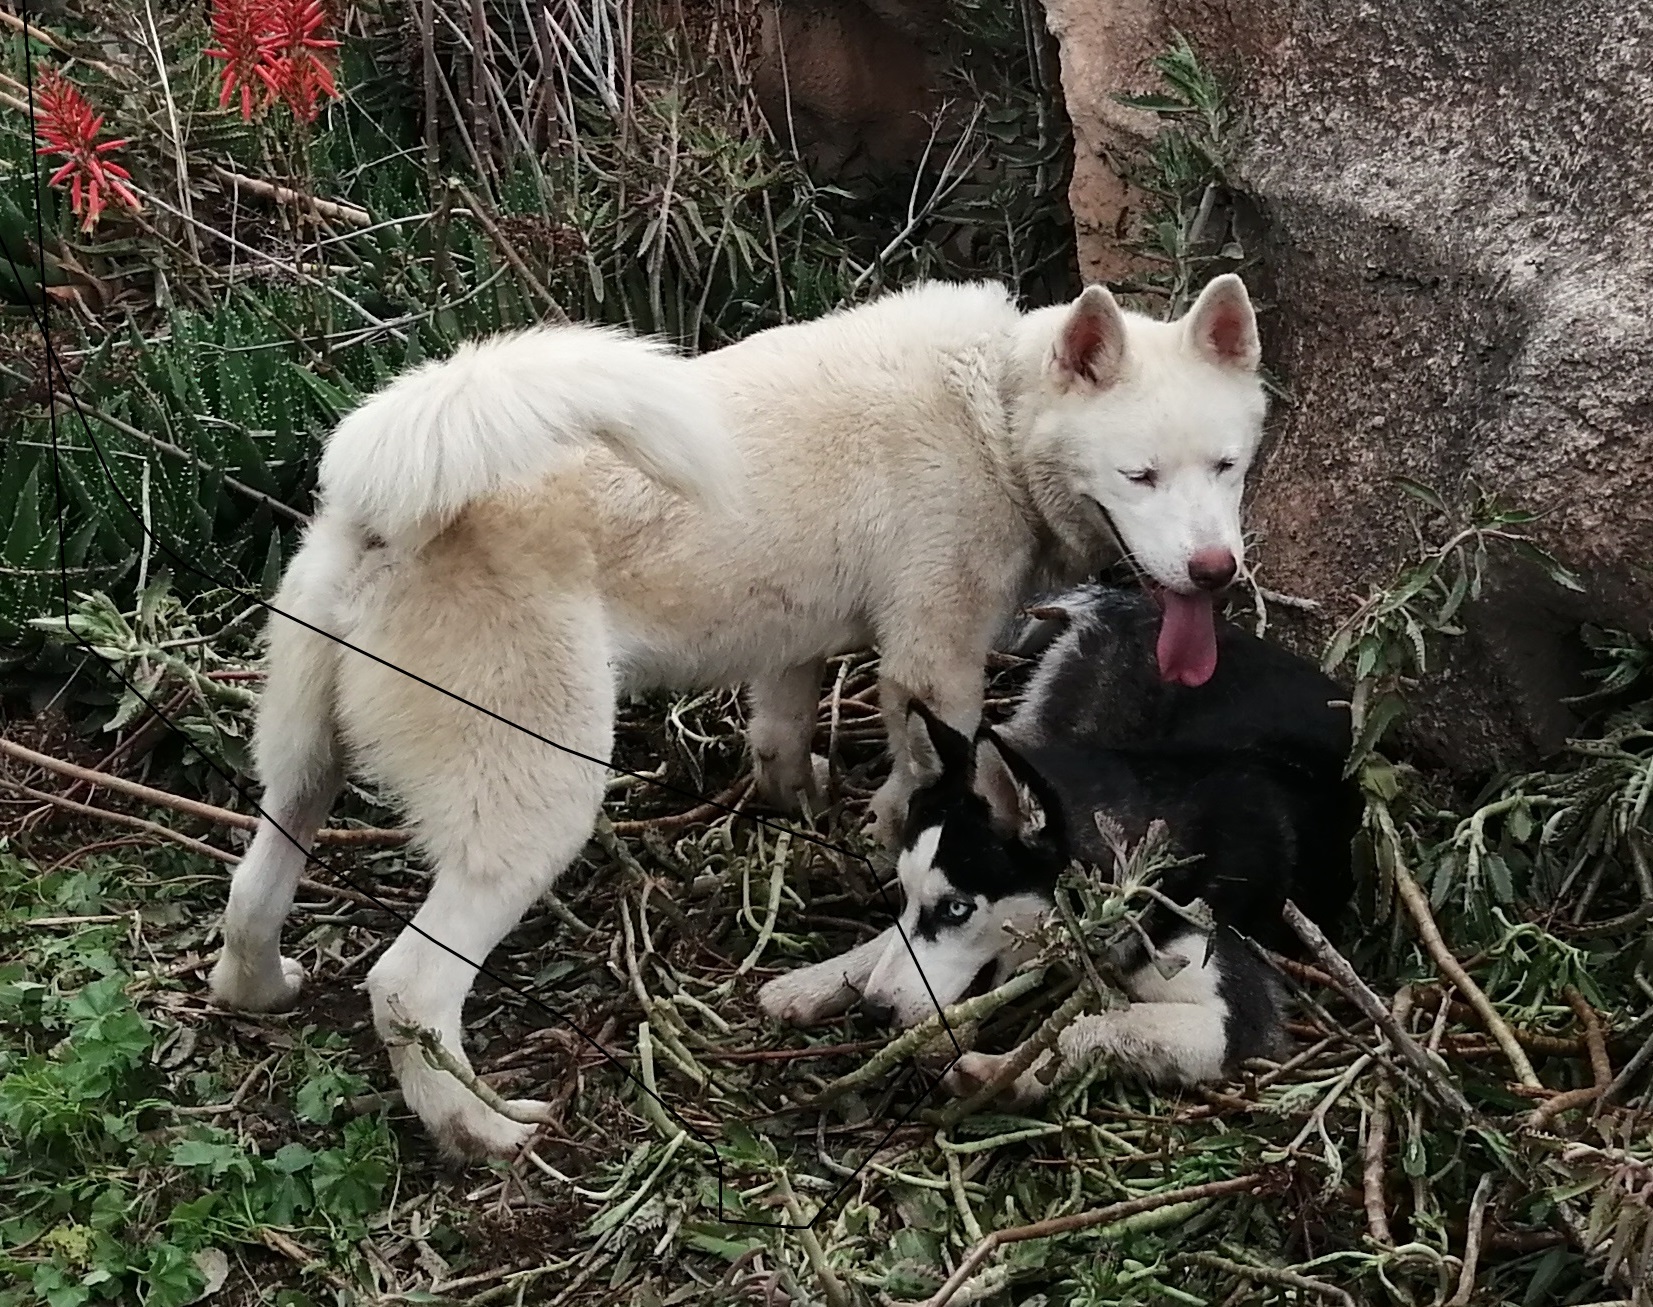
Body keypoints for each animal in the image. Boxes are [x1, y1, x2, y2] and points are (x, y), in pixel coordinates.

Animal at [206, 274, 1262, 1156]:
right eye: (1138, 476)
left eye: (1225, 466)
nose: (1216, 572)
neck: (993, 412)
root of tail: (382, 508)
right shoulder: (934, 662)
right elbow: (932, 784)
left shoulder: (792, 646)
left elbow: (780, 742)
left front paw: (805, 812)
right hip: (534, 810)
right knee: (405, 987)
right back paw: (483, 1129)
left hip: (300, 773)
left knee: (250, 895)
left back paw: (259, 991)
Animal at [757, 588, 1355, 1097]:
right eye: (904, 894)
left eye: (956, 910)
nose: (874, 1012)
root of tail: (1136, 602)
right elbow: (891, 938)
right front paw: (822, 981)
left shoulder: (1230, 1022)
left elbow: (1093, 1023)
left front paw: (1005, 1071)